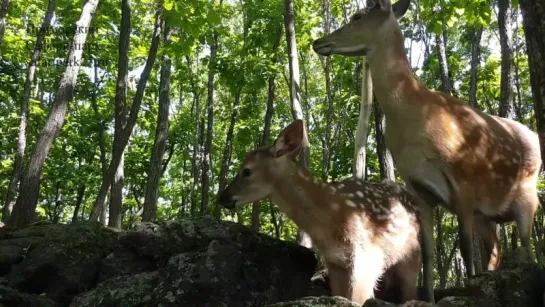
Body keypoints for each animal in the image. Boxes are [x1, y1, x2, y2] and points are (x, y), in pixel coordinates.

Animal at [217, 120, 420, 306]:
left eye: (247, 171)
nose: (222, 197)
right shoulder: (335, 261)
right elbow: (342, 297)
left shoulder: (368, 254)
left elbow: (358, 299)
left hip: (412, 253)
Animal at [312, 0, 540, 304]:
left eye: (357, 16)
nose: (318, 42)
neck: (414, 117)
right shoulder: (419, 188)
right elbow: (427, 253)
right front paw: (429, 299)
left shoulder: (464, 180)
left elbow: (466, 248)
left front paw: (468, 291)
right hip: (486, 214)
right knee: (496, 248)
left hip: (528, 194)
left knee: (527, 247)